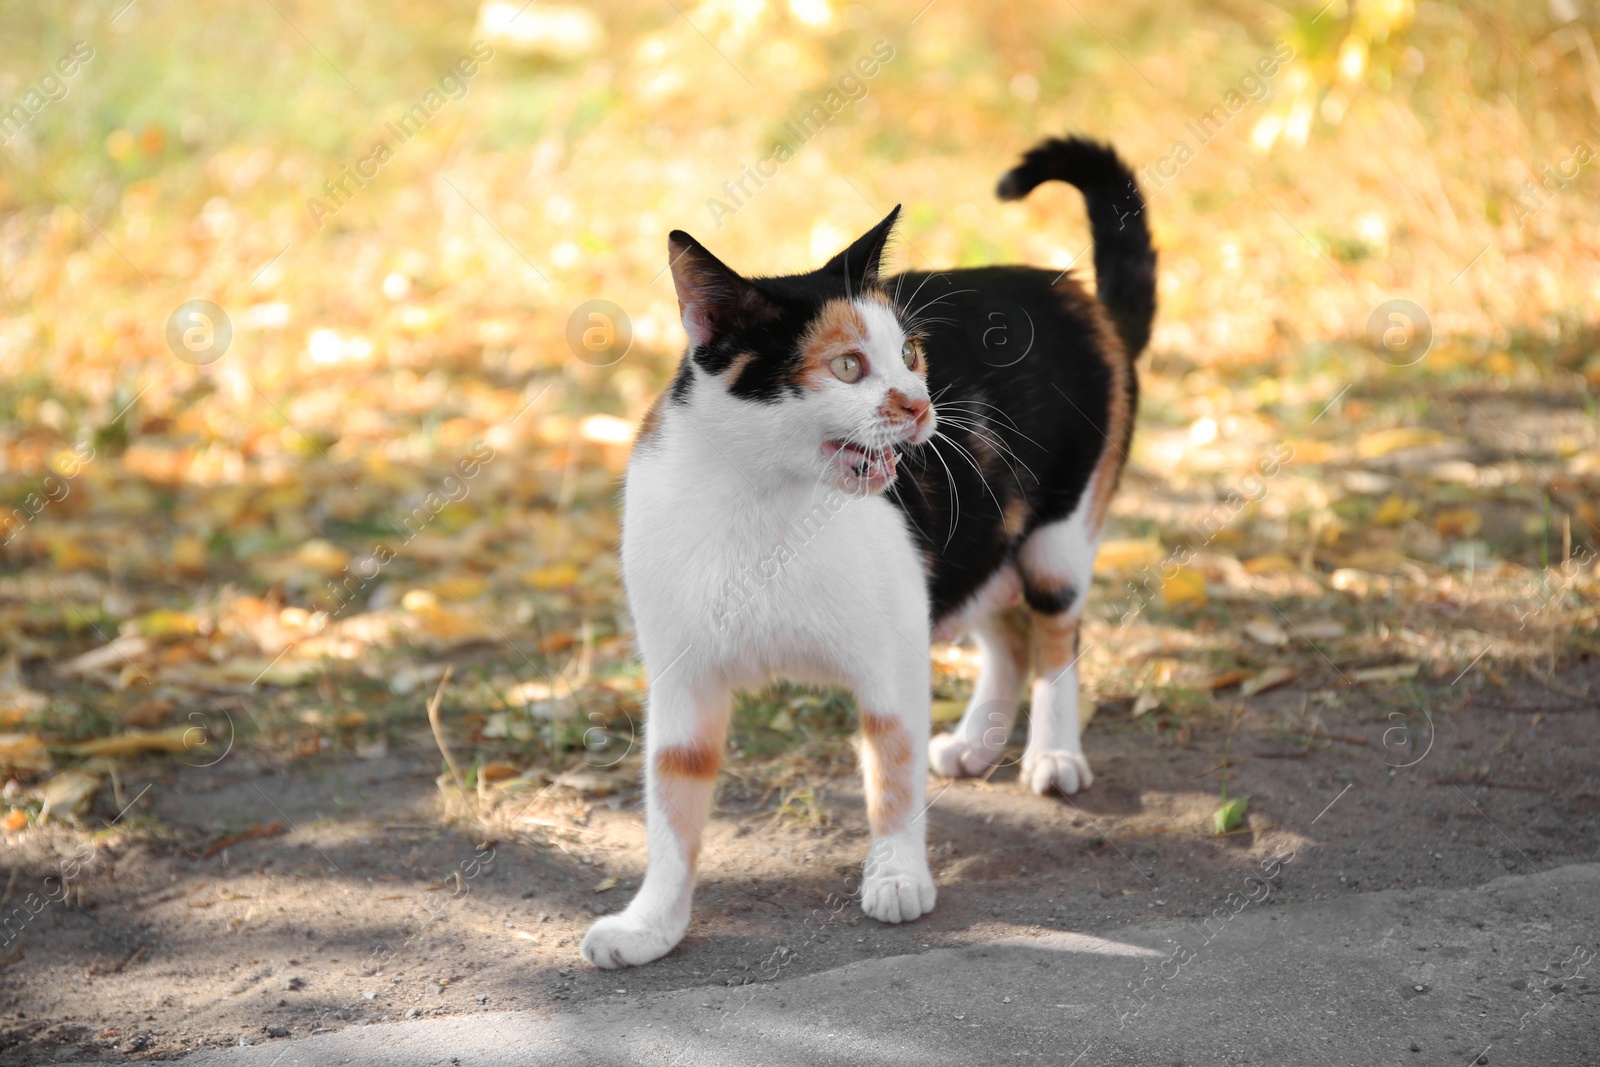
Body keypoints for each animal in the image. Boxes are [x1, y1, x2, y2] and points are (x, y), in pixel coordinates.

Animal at [582, 133, 1158, 966]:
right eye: (848, 365)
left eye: (911, 353)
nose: (920, 405)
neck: (761, 504)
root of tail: (1070, 289)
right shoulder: (682, 677)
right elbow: (671, 804)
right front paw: (651, 923)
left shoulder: (893, 654)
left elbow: (893, 769)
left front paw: (896, 875)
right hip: (973, 543)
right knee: (1007, 636)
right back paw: (977, 742)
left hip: (1055, 536)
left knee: (1053, 634)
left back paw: (1052, 753)